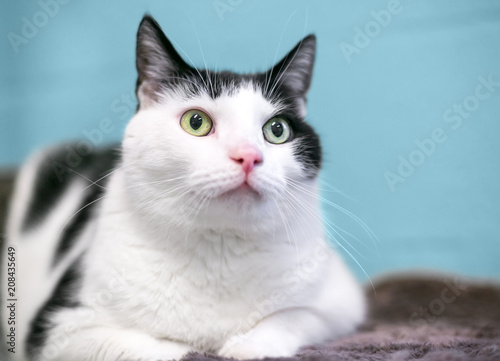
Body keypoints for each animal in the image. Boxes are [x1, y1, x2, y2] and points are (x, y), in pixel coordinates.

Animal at [1, 14, 366, 360]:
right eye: (196, 121)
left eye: (277, 130)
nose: (248, 156)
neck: (219, 250)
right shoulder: (58, 329)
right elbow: (159, 349)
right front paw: (198, 348)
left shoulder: (343, 301)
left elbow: (293, 316)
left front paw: (249, 346)